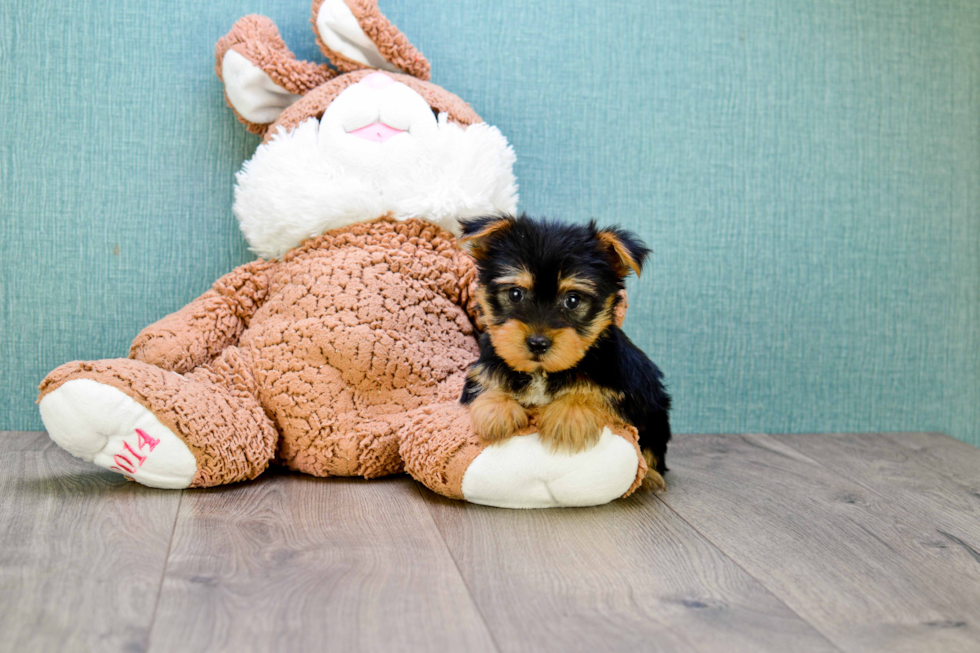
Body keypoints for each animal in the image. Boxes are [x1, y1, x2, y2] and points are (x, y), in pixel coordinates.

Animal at [460, 214, 672, 478]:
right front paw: (496, 410)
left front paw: (569, 414)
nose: (538, 343)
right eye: (515, 294)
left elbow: (599, 394)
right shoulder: (482, 370)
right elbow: (487, 382)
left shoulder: (630, 389)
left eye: (573, 300)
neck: (542, 373)